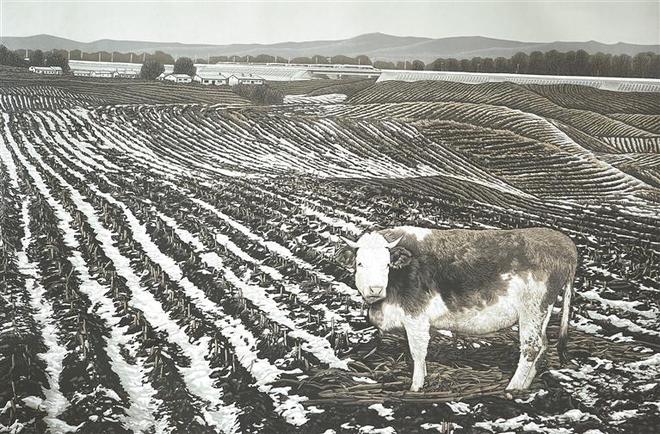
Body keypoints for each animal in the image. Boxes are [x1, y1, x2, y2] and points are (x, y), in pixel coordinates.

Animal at [340, 229, 576, 392]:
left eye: (387, 265)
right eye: (360, 263)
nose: (375, 288)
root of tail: (564, 242)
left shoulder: (416, 317)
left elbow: (417, 352)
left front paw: (416, 387)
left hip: (532, 309)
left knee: (531, 347)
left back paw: (512, 388)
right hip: (542, 312)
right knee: (543, 344)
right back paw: (524, 386)